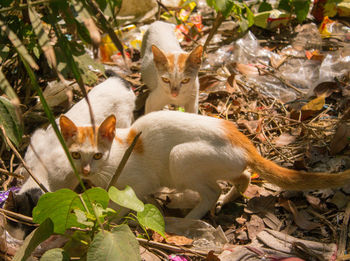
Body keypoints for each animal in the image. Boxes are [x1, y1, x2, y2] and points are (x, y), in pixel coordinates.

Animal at [4, 75, 135, 238]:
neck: (42, 171)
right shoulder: (35, 142)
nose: (19, 241)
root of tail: (120, 80)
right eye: (14, 222)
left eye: (31, 229)